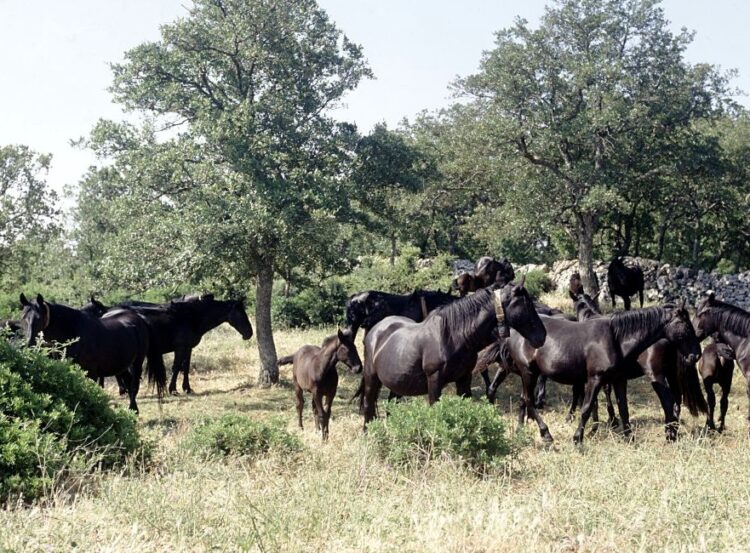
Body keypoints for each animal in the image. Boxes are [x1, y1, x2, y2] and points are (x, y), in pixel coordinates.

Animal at [18, 292, 164, 412]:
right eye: (23, 317)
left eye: (39, 318)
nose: (29, 343)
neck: (73, 332)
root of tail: (140, 318)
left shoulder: (92, 373)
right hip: (122, 364)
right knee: (128, 382)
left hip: (136, 363)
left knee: (134, 385)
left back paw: (133, 410)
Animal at [360, 280, 548, 426]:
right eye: (526, 305)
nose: (542, 336)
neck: (452, 336)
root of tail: (375, 329)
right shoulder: (434, 381)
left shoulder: (464, 378)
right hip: (371, 378)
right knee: (368, 408)